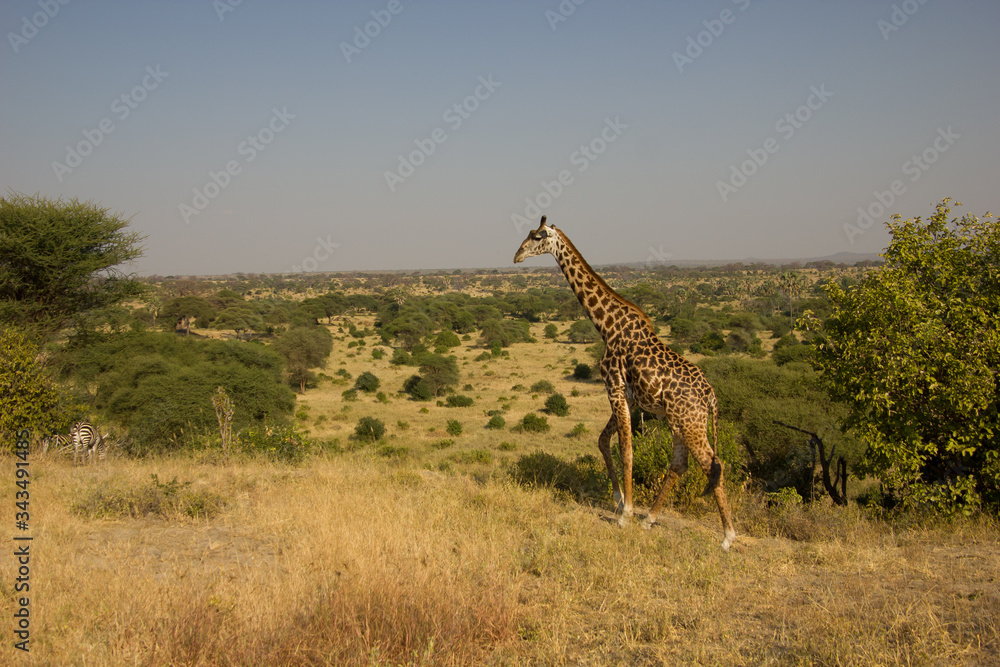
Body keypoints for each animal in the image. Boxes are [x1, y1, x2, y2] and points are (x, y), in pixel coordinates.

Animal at [514, 216, 736, 550]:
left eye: (537, 236)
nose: (517, 255)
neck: (608, 327)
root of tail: (710, 395)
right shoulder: (627, 396)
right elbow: (604, 441)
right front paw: (620, 502)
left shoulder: (615, 388)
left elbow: (626, 450)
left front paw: (625, 513)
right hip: (680, 421)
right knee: (680, 465)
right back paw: (650, 520)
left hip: (692, 422)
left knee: (711, 464)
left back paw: (727, 536)